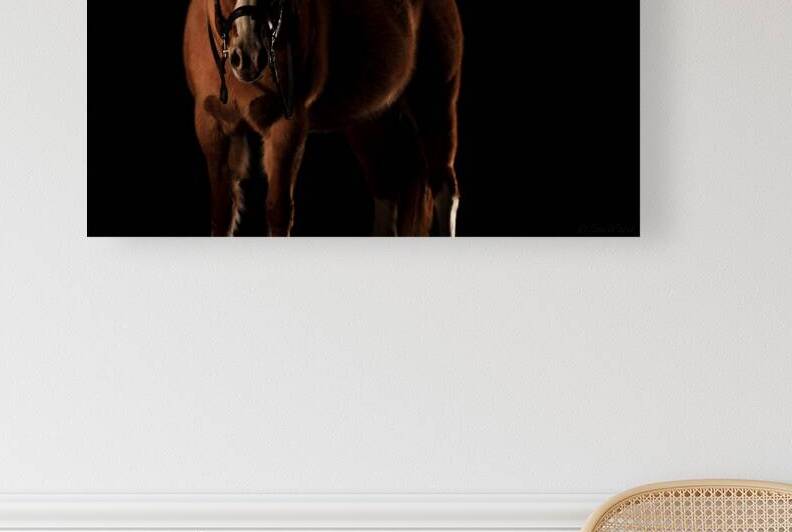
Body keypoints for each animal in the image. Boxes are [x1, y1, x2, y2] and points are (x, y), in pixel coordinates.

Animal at [183, 0, 463, 236]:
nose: (249, 56)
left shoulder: (287, 128)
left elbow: (278, 210)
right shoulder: (213, 129)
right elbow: (222, 212)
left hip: (435, 105)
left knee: (444, 188)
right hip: (369, 121)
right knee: (384, 188)